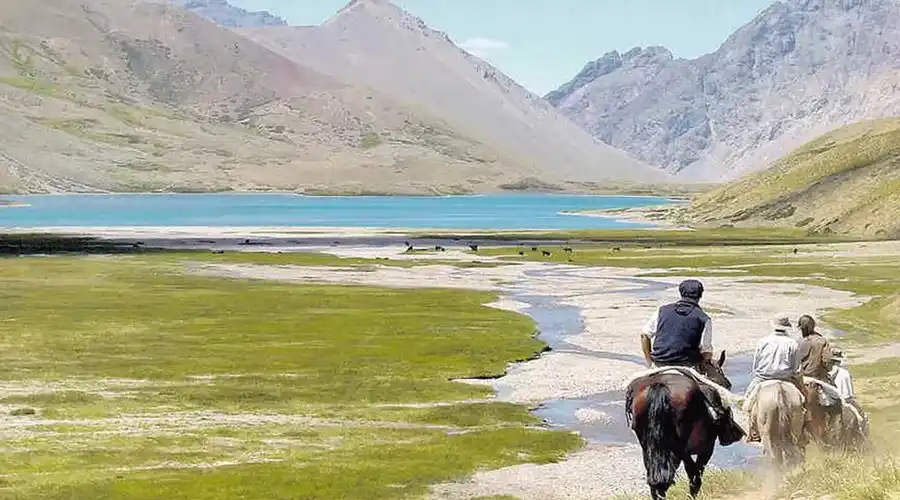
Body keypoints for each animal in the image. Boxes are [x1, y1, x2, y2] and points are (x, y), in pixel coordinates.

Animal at [624, 352, 740, 500]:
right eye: (727, 384)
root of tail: (660, 385)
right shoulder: (707, 448)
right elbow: (696, 472)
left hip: (648, 445)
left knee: (656, 479)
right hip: (681, 448)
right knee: (691, 474)